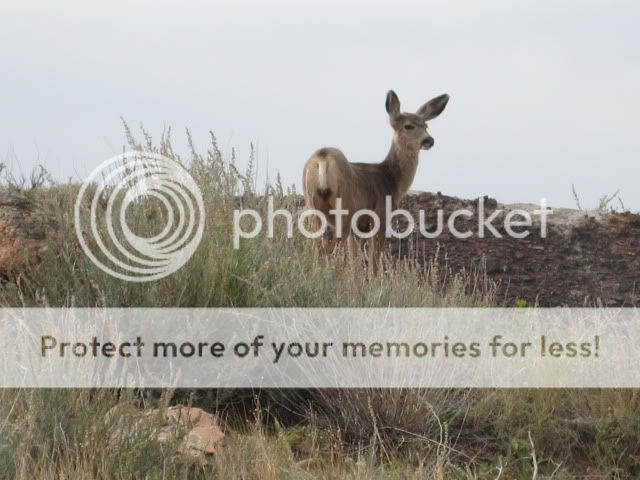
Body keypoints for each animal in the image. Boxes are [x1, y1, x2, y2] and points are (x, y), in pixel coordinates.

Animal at [302, 90, 449, 271]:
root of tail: (322, 157)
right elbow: (374, 263)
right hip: (344, 209)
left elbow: (355, 261)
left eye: (426, 126)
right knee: (328, 250)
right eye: (408, 126)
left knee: (317, 249)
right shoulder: (380, 217)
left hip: (311, 206)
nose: (429, 140)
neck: (392, 180)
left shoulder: (358, 228)